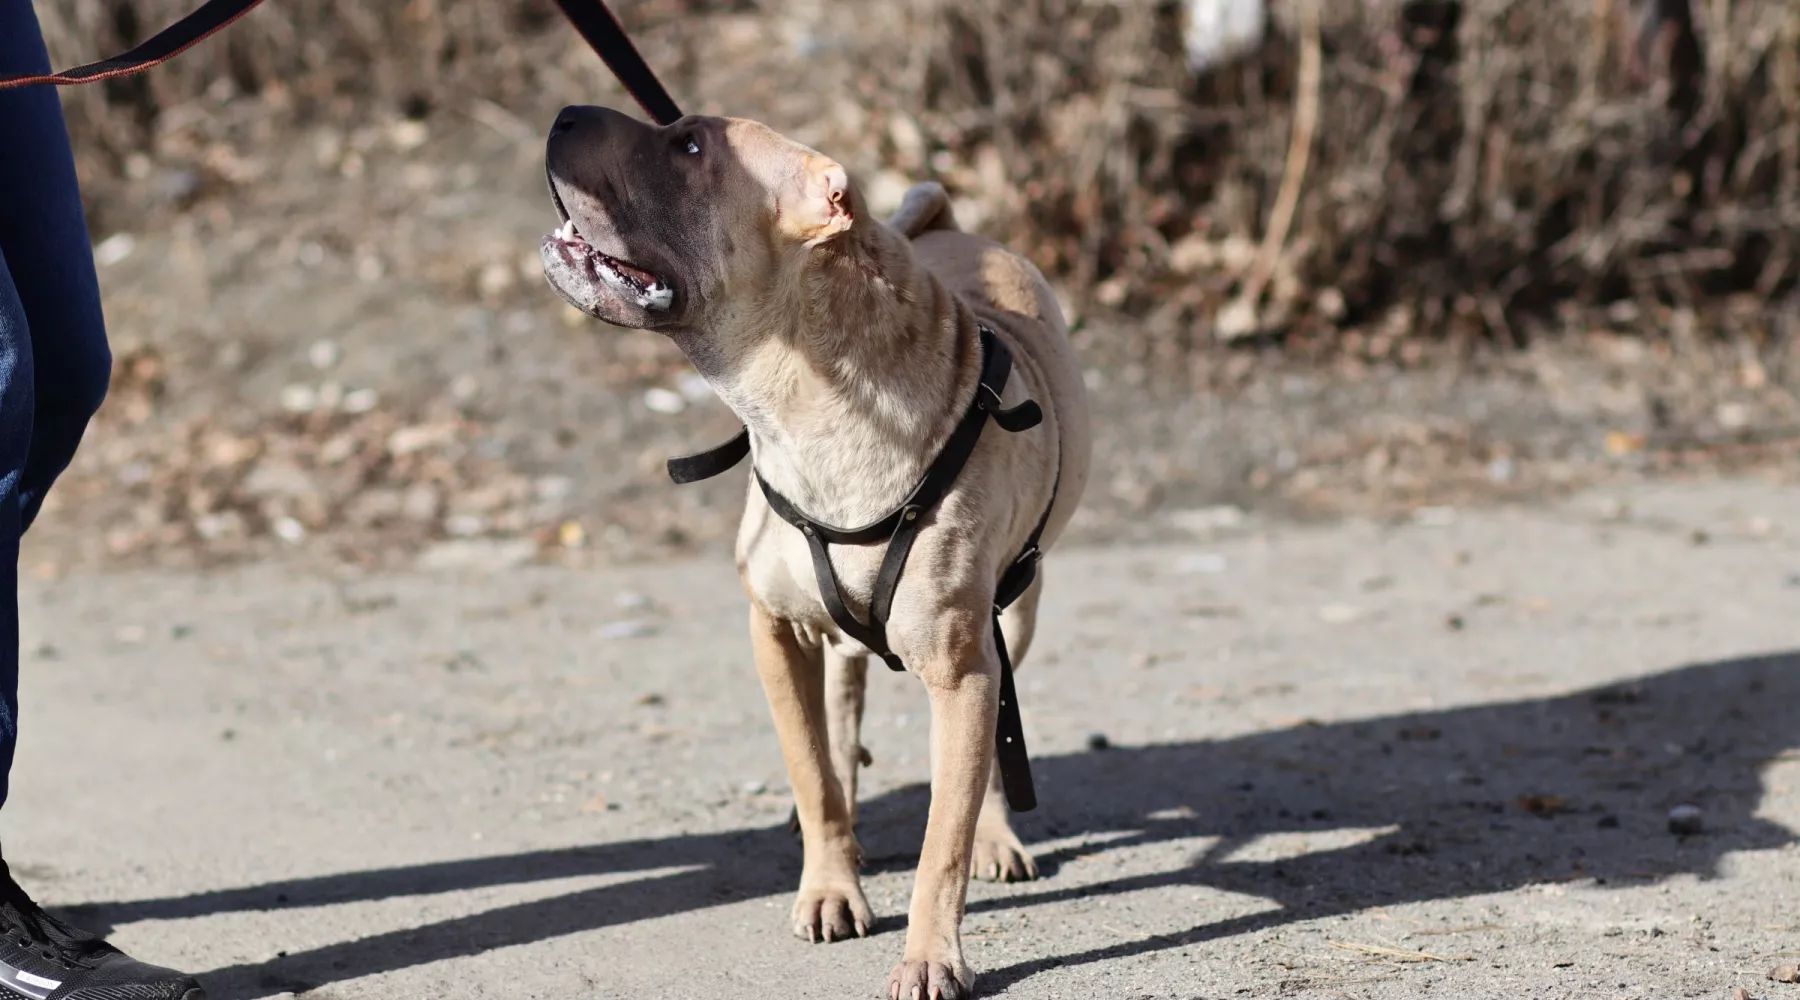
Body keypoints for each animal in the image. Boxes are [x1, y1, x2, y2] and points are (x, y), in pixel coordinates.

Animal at [540, 105, 1087, 992]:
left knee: (993, 748)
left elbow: (944, 836)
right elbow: (812, 775)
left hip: (1014, 617)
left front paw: (931, 952)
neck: (808, 399)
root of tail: (950, 228)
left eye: (690, 145)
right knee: (843, 719)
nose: (563, 113)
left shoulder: (962, 667)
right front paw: (831, 883)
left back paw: (998, 836)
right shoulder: (775, 634)